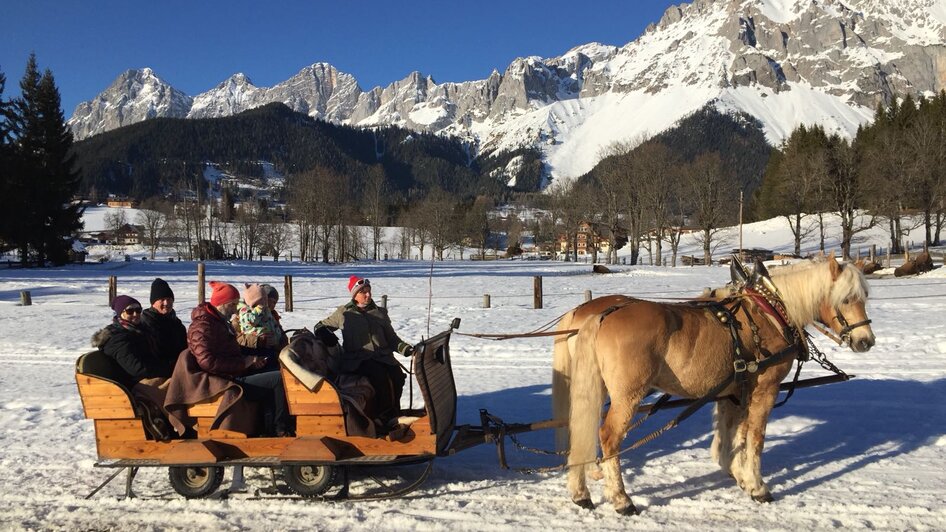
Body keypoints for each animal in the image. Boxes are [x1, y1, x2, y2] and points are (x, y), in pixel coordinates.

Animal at [560, 256, 872, 512]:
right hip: (627, 395)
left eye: (864, 297)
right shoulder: (765, 388)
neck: (769, 313)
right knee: (609, 436)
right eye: (846, 299)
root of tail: (601, 315)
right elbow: (755, 438)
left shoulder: (734, 391)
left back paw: (581, 492)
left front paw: (737, 473)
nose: (866, 341)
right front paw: (757, 486)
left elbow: (734, 433)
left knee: (582, 425)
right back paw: (621, 499)